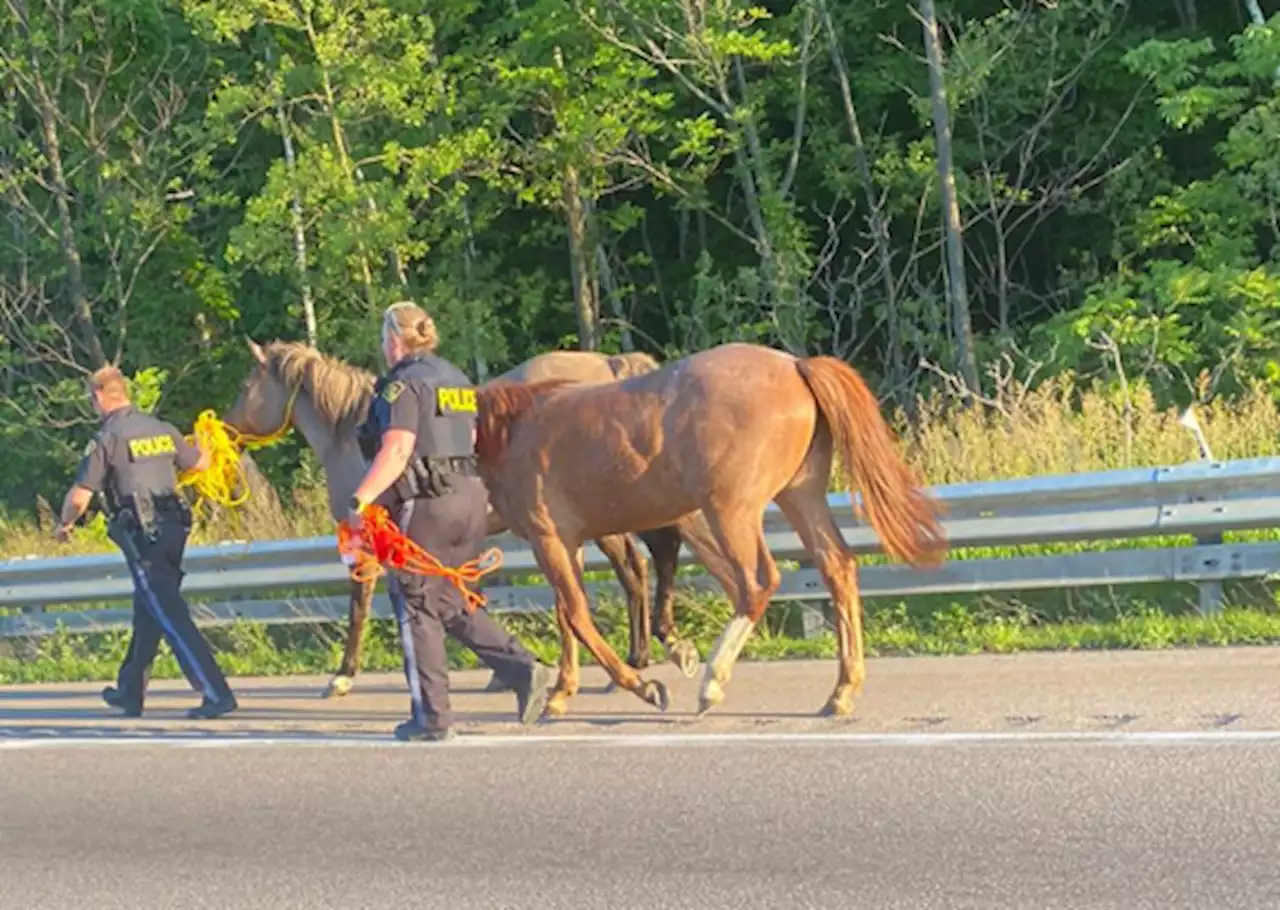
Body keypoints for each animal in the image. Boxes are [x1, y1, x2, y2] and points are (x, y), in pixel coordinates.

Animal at [220, 340, 701, 696]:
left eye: (246, 383)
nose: (224, 431)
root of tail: (610, 364)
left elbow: (360, 608)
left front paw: (343, 676)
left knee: (634, 570)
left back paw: (637, 662)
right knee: (636, 568)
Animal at [476, 343, 947, 716]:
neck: (511, 431)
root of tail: (796, 365)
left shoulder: (550, 536)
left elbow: (575, 613)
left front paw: (642, 686)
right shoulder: (563, 539)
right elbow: (566, 613)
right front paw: (560, 690)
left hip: (730, 511)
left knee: (754, 583)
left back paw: (710, 680)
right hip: (799, 495)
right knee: (836, 566)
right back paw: (841, 692)